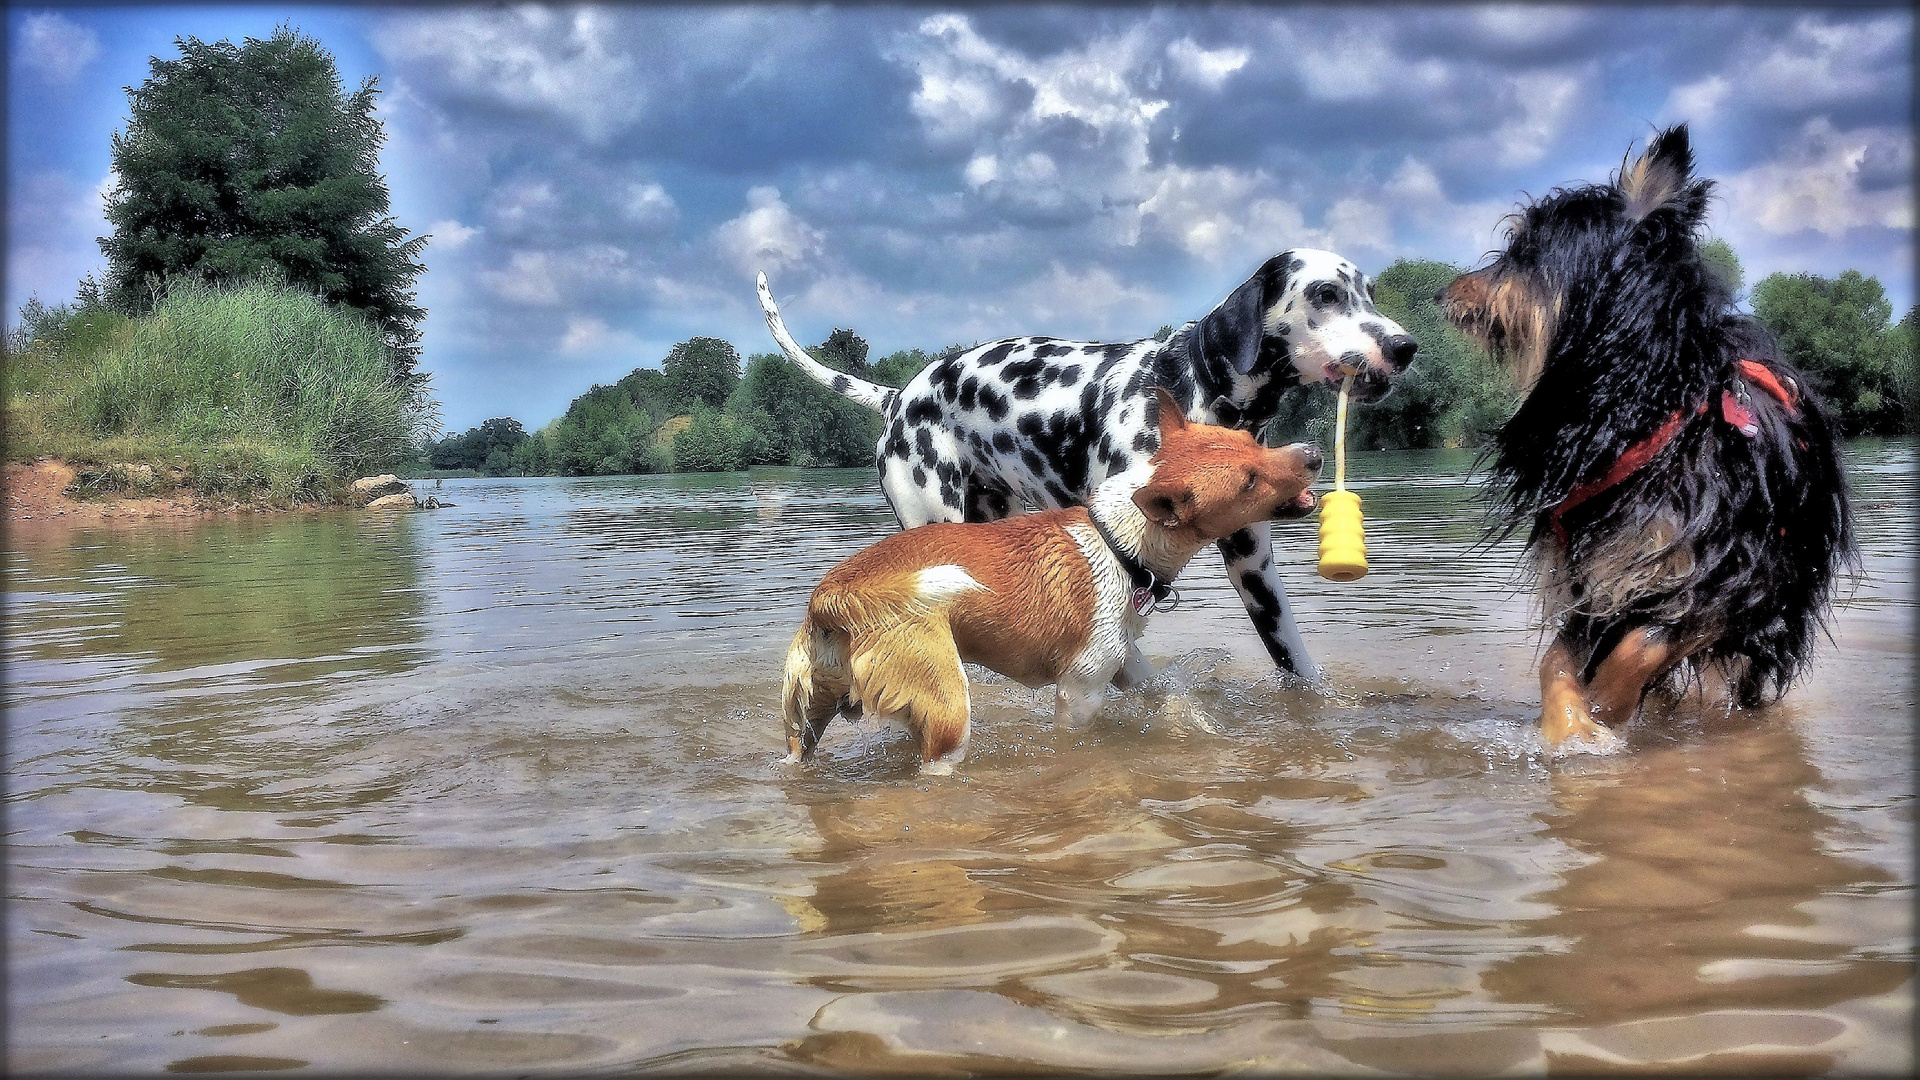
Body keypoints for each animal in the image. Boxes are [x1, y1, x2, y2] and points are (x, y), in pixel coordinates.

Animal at [756, 247, 1420, 676]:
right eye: (1326, 294)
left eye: (1369, 293)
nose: (1406, 345)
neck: (1189, 391)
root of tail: (897, 395)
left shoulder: (1255, 570)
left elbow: (1300, 671)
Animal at [779, 390, 1320, 768]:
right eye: (1248, 482)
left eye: (1251, 441)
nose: (1314, 454)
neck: (1118, 542)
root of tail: (830, 596)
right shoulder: (1079, 691)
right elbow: (1075, 741)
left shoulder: (1126, 665)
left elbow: (1172, 699)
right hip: (949, 715)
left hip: (806, 719)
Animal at [1443, 123, 1858, 749]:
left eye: (1524, 250)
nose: (1445, 292)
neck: (1637, 414)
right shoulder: (1597, 570)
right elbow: (1558, 659)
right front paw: (1569, 727)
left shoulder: (1734, 576)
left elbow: (1646, 644)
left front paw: (1606, 710)